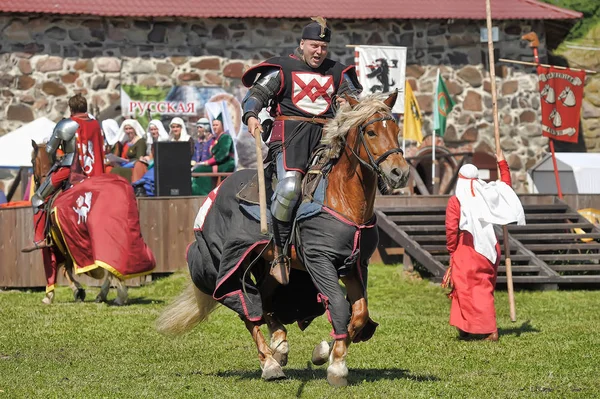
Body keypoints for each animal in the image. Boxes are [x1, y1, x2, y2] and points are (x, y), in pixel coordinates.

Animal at [31, 141, 155, 306]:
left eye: (32, 161)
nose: (36, 185)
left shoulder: (57, 244)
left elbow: (63, 269)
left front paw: (54, 294)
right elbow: (66, 268)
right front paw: (78, 291)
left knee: (109, 268)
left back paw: (118, 296)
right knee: (112, 267)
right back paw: (106, 295)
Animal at [157, 91, 410, 388]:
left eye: (396, 130)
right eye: (371, 132)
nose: (399, 173)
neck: (342, 199)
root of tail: (217, 189)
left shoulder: (354, 265)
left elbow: (359, 314)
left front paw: (328, 352)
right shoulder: (319, 261)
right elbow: (338, 305)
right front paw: (334, 363)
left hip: (269, 267)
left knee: (265, 300)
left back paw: (279, 344)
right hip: (229, 261)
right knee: (246, 306)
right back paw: (269, 363)